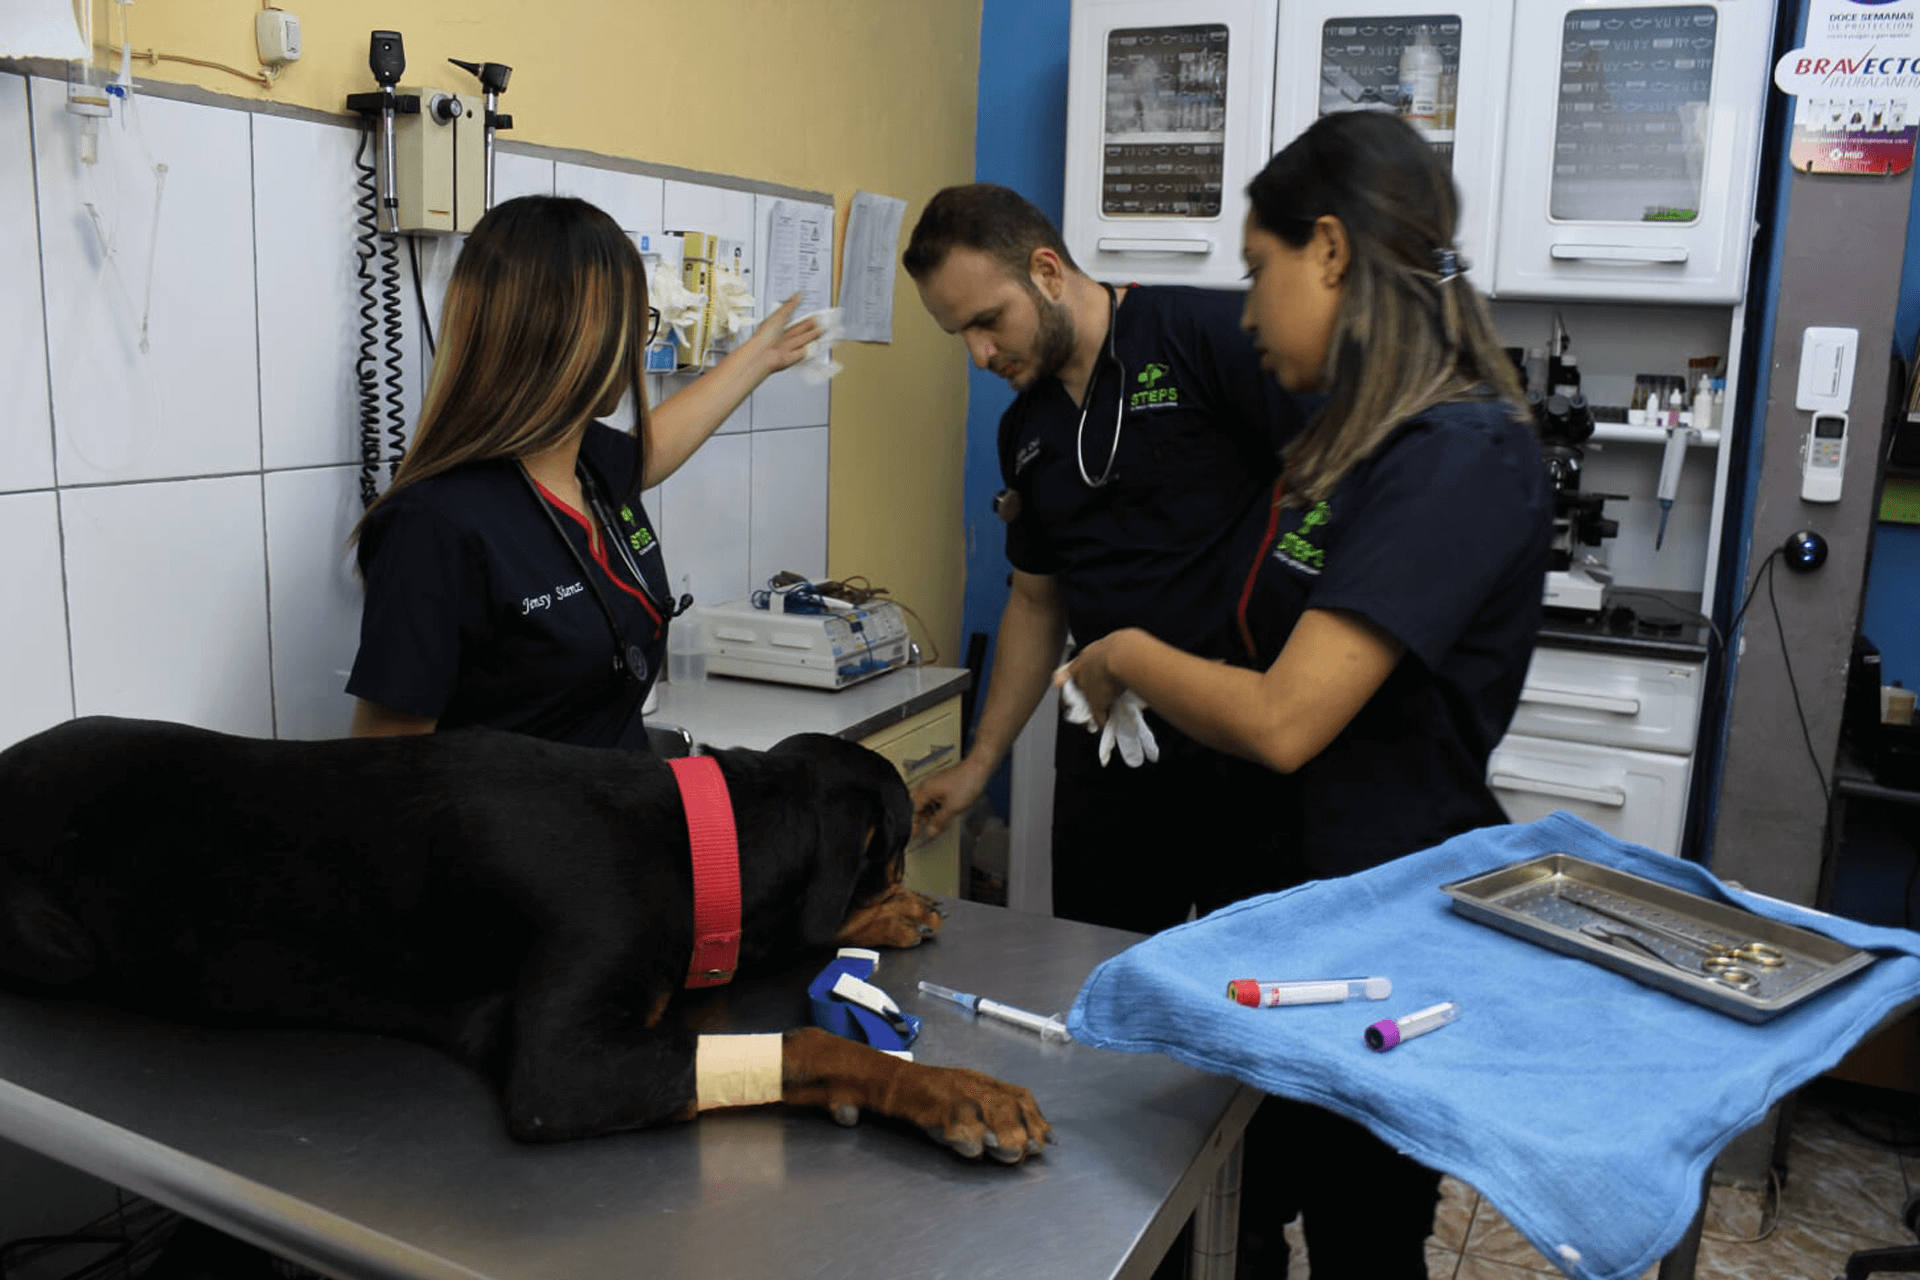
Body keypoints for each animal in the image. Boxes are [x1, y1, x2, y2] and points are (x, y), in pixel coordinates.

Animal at [0, 721, 1052, 1159]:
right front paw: (956, 1092)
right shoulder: (563, 1066)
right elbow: (804, 1039)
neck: (696, 842)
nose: (931, 907)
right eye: (901, 848)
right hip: (54, 939)